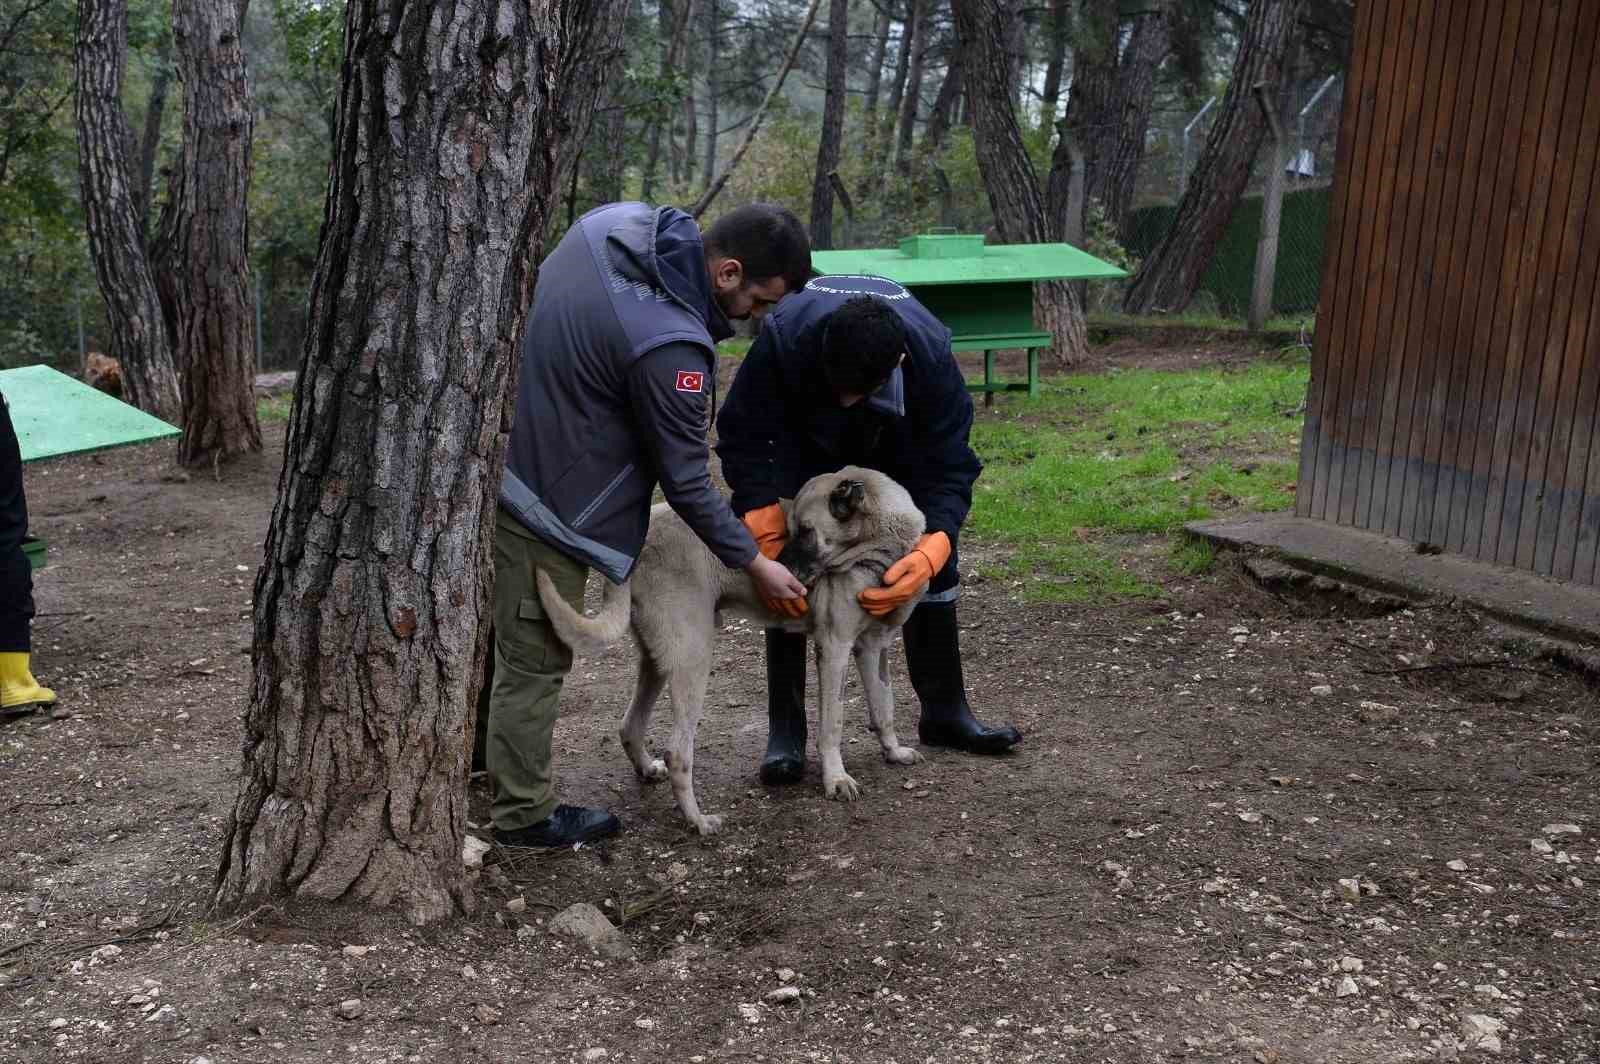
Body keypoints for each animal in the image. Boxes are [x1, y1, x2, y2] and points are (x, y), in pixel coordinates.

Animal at [540, 470, 928, 832]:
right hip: (694, 658)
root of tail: (636, 546)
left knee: (630, 725)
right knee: (678, 752)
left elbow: (884, 707)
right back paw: (697, 820)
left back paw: (648, 769)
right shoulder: (834, 648)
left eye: (804, 531)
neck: (877, 546)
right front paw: (836, 779)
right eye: (790, 530)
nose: (778, 570)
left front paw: (893, 751)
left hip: (657, 660)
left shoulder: (874, 647)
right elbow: (833, 723)